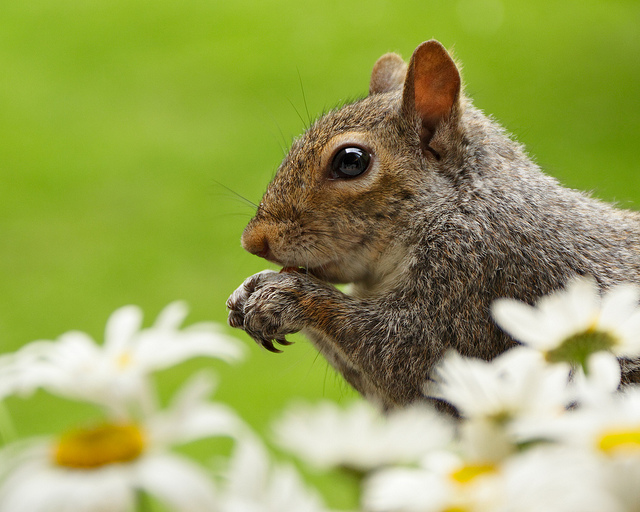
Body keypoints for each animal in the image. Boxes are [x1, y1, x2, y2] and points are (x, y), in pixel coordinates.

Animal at [224, 38, 640, 410]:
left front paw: (287, 296)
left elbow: (412, 358)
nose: (253, 241)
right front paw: (250, 288)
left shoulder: (481, 275)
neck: (463, 204)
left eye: (351, 161)